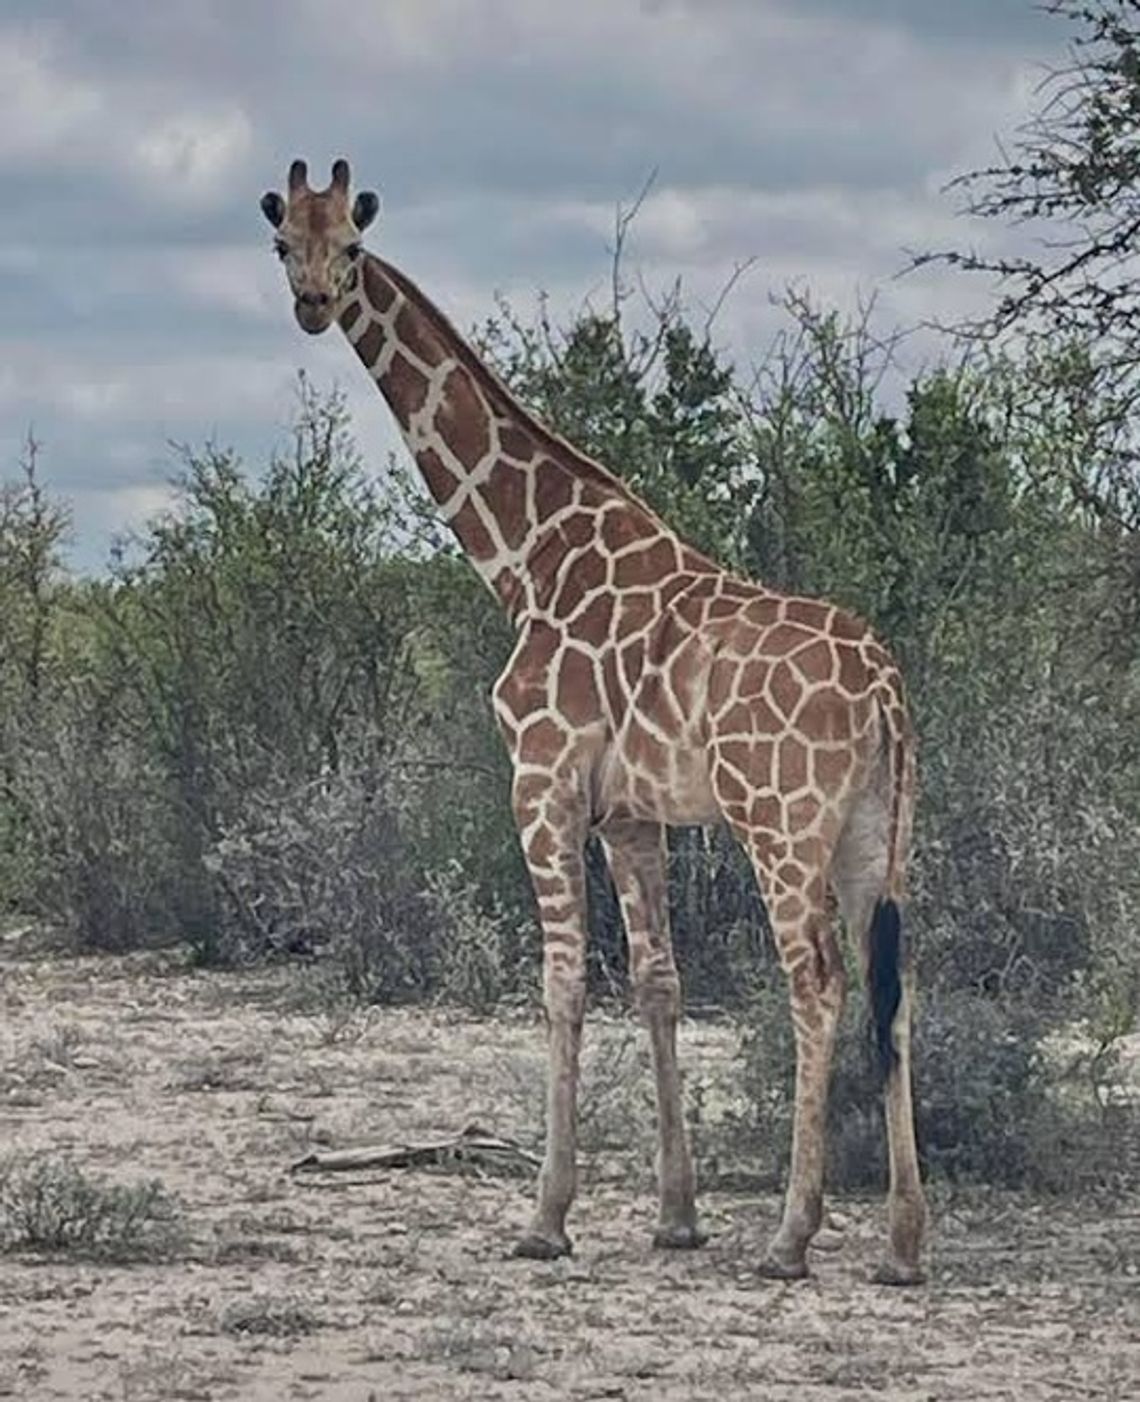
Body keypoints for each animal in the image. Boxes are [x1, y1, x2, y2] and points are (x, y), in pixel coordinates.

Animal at [260, 158, 926, 1285]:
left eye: (350, 243)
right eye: (282, 243)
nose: (311, 304)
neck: (526, 556)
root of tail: (884, 686)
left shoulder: (541, 780)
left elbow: (563, 981)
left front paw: (546, 1216)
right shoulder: (631, 812)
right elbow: (658, 982)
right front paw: (676, 1214)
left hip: (782, 823)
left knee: (819, 983)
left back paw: (792, 1236)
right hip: (878, 833)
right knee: (897, 984)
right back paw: (903, 1243)